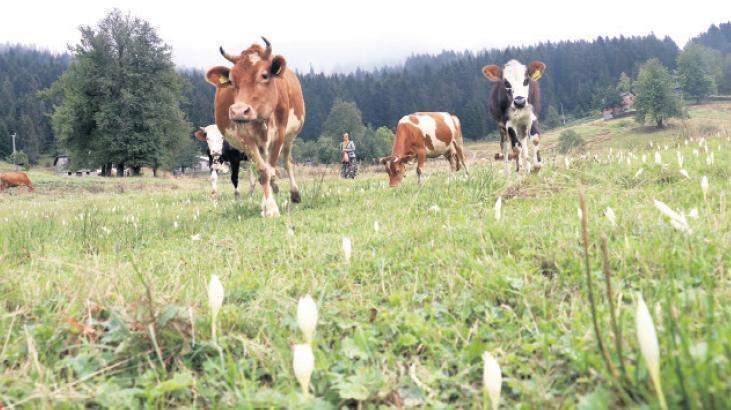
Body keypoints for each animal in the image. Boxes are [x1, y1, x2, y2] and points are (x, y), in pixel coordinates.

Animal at [206, 37, 306, 218]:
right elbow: (263, 171)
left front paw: (270, 206)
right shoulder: (246, 139)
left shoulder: (279, 134)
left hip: (289, 138)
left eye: (264, 75)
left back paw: (294, 193)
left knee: (287, 161)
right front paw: (269, 206)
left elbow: (272, 167)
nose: (239, 111)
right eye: (232, 80)